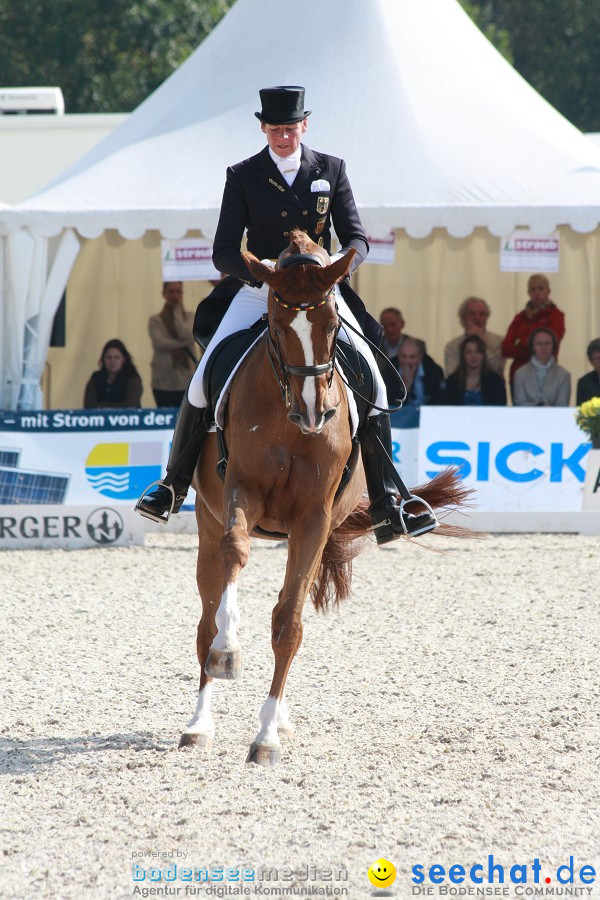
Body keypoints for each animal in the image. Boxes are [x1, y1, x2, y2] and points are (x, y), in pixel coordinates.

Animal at [178, 230, 468, 768]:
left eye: (332, 324)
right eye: (275, 325)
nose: (316, 413)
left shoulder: (313, 519)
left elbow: (289, 624)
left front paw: (266, 736)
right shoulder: (239, 495)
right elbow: (235, 554)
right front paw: (229, 652)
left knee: (288, 612)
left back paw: (278, 719)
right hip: (207, 520)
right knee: (206, 615)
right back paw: (198, 724)